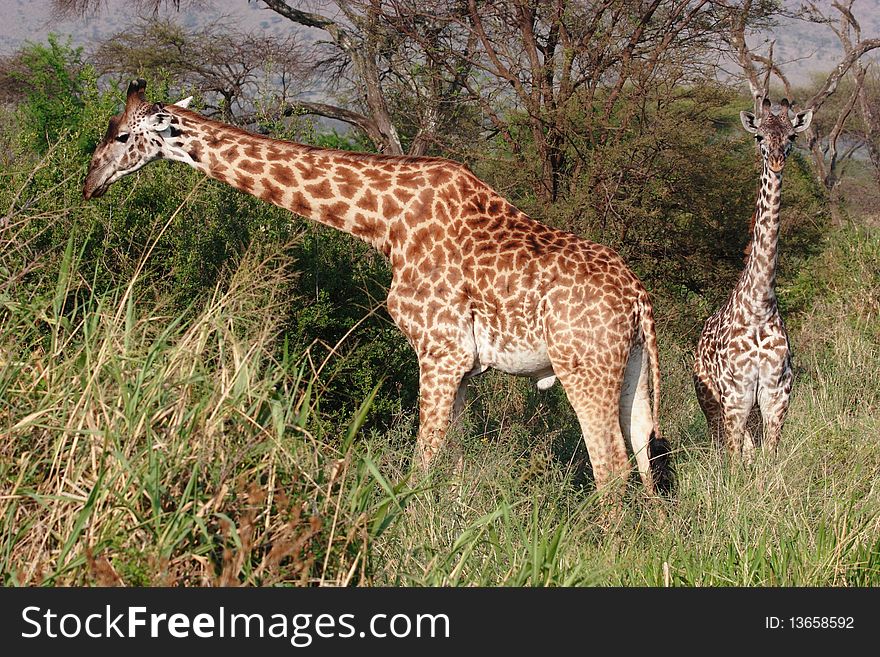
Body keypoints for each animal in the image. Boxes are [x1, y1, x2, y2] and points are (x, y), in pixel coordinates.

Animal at [84, 78, 672, 492]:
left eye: (121, 135)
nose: (90, 183)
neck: (381, 224)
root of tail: (640, 299)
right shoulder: (463, 366)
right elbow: (450, 462)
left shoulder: (440, 351)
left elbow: (422, 464)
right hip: (631, 369)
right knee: (646, 455)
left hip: (583, 366)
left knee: (611, 467)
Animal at [696, 97, 812, 462]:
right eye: (759, 136)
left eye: (792, 136)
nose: (776, 159)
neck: (760, 304)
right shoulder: (737, 393)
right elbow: (734, 461)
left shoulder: (777, 394)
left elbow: (769, 457)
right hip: (709, 400)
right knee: (722, 447)